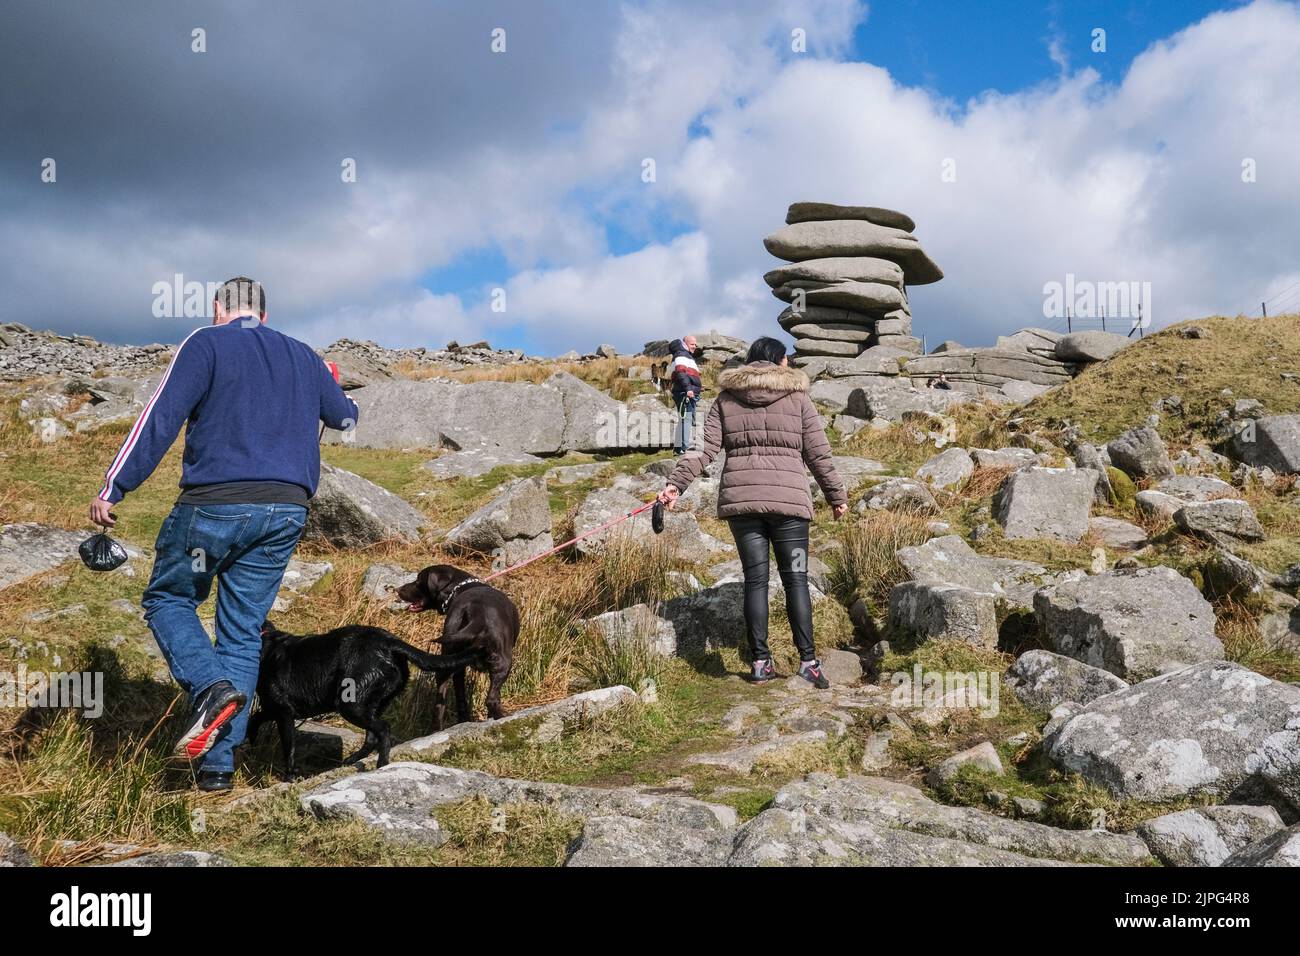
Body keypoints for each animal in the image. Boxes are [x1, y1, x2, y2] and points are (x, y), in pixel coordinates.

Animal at [245, 621, 475, 780]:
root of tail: (389, 642)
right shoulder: (273, 706)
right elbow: (256, 718)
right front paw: (252, 739)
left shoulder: (284, 711)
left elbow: (288, 747)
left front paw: (290, 776)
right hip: (370, 702)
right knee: (372, 737)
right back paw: (352, 761)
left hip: (351, 704)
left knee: (382, 730)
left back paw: (382, 763)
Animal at [392, 564, 520, 728]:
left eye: (418, 581)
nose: (398, 589)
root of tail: (476, 612)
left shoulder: (458, 668)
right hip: (503, 661)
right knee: (491, 699)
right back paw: (501, 718)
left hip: (447, 658)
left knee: (441, 705)